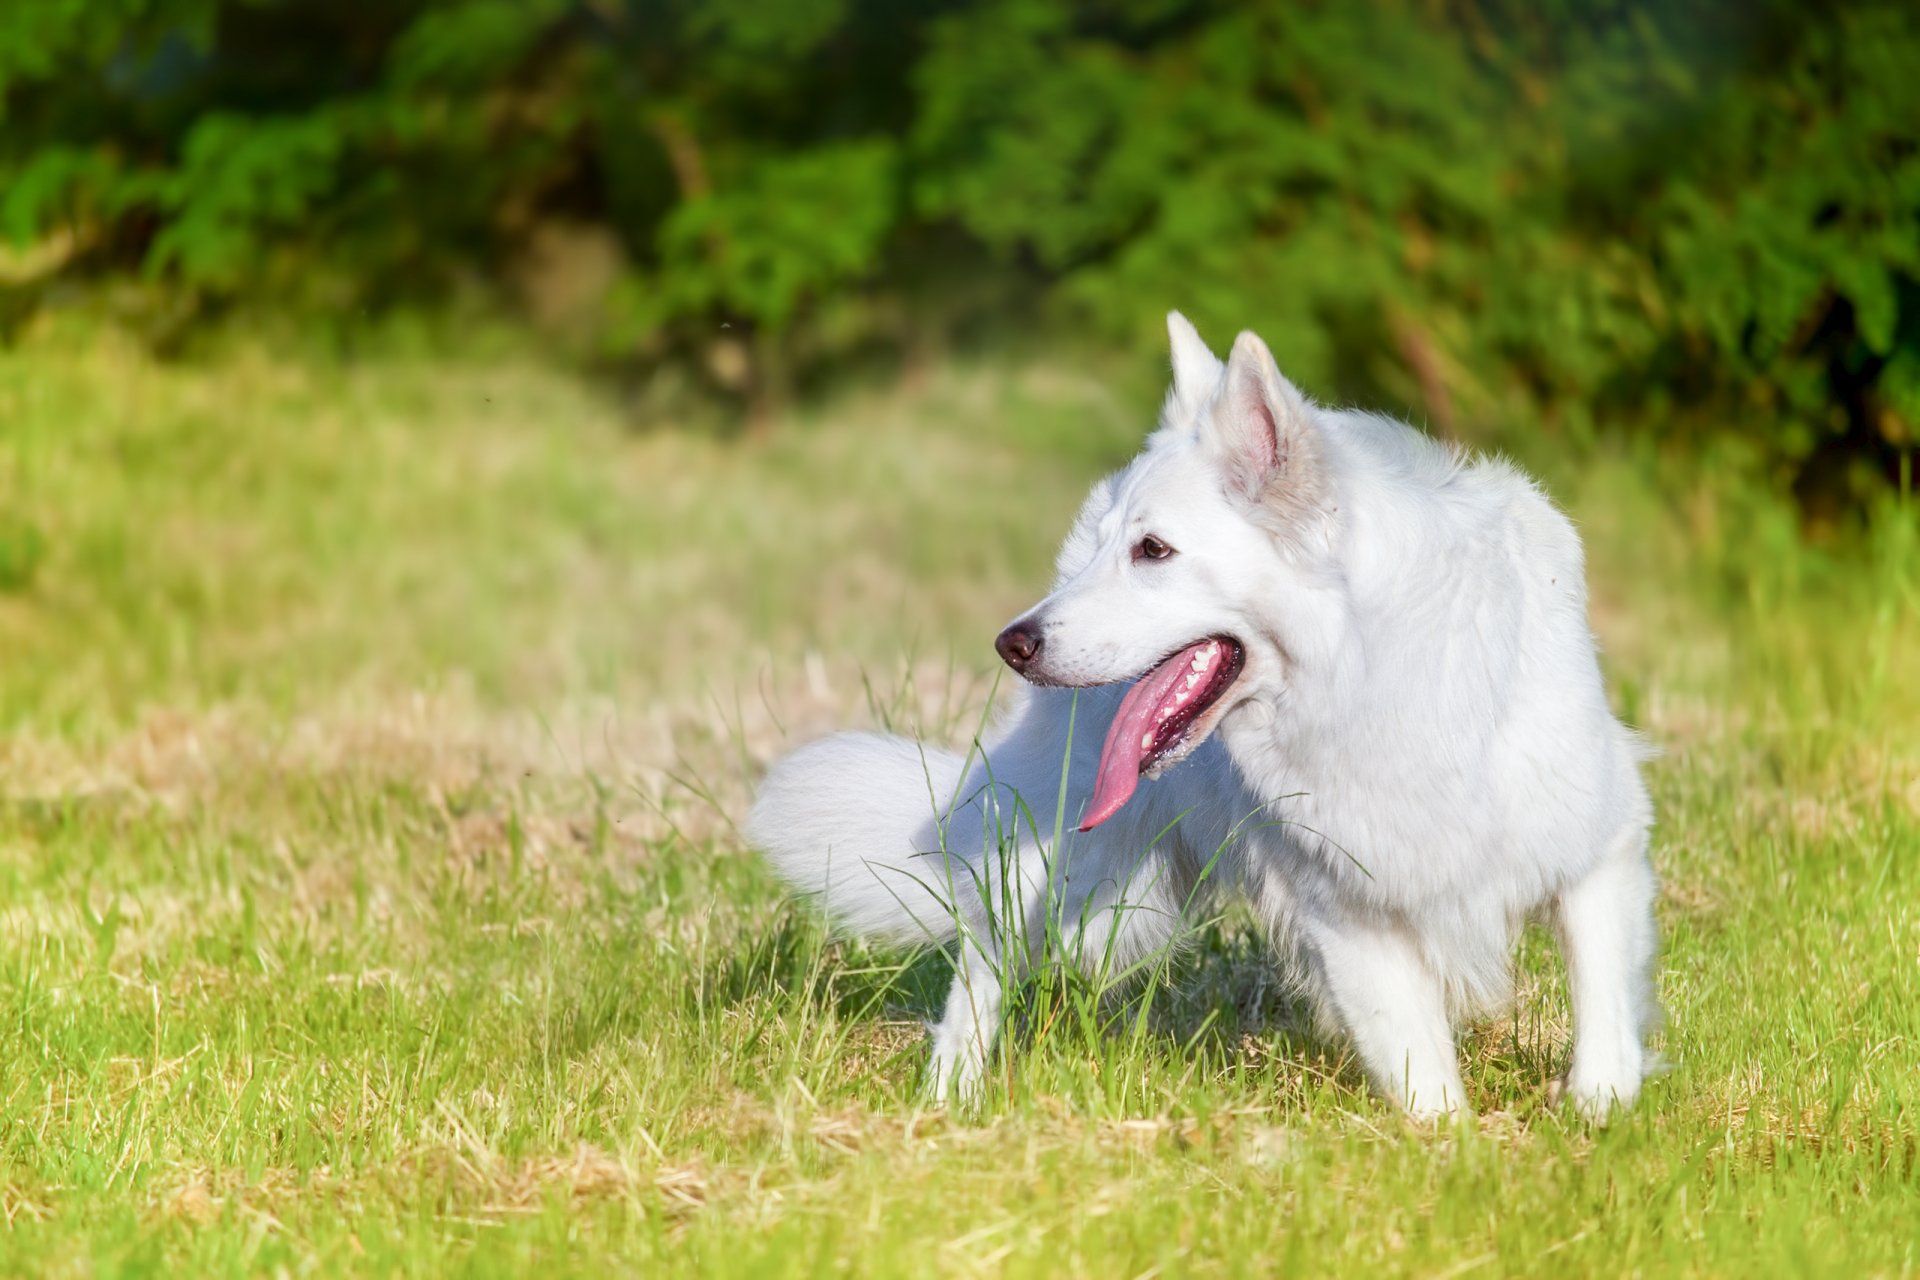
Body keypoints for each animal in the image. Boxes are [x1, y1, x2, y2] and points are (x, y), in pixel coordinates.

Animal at [741, 314, 1658, 1113]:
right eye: (1116, 549)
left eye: (1154, 551)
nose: (1013, 643)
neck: (1379, 673)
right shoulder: (1354, 924)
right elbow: (1427, 1083)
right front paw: (1455, 1154)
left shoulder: (1596, 851)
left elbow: (1602, 1015)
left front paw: (1597, 1116)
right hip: (1082, 887)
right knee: (982, 958)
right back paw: (949, 1099)